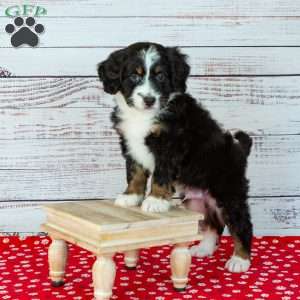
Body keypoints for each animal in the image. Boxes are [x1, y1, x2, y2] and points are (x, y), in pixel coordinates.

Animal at [98, 41, 253, 274]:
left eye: (161, 76)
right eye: (134, 76)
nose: (149, 99)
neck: (143, 116)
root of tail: (240, 150)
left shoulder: (170, 145)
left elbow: (161, 175)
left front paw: (155, 201)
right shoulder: (130, 144)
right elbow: (135, 173)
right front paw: (131, 196)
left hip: (228, 192)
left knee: (241, 223)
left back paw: (240, 260)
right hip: (197, 201)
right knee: (212, 224)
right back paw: (203, 248)